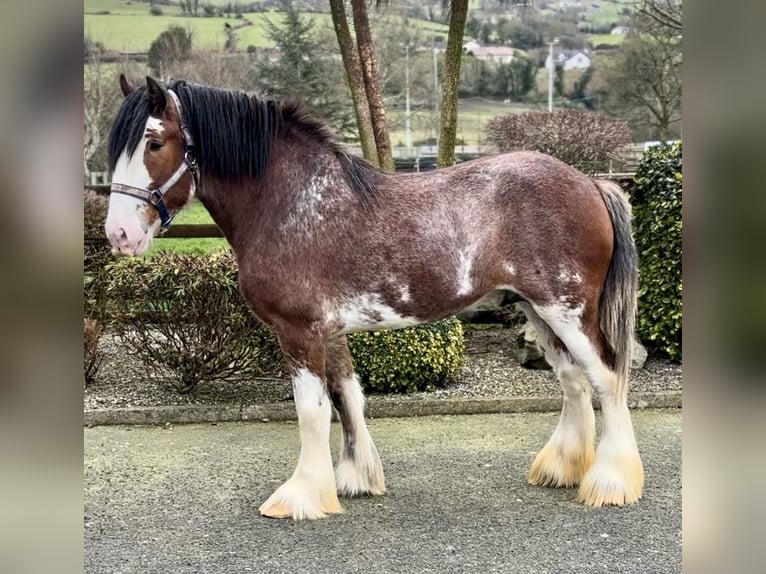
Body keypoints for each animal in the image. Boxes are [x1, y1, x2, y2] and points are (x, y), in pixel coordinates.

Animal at [106, 76, 648, 520]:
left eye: (154, 142)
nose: (119, 234)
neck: (291, 201)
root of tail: (590, 182)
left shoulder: (299, 332)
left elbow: (312, 411)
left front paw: (301, 496)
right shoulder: (328, 331)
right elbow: (348, 398)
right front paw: (354, 479)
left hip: (568, 310)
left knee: (606, 377)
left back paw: (611, 482)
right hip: (538, 310)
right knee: (573, 381)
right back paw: (563, 469)